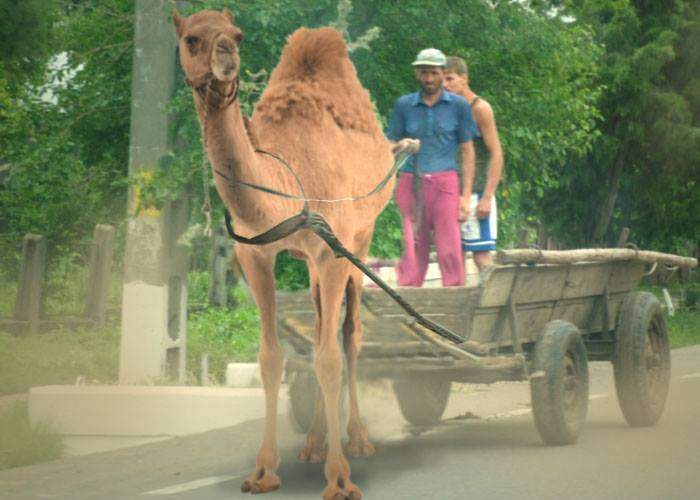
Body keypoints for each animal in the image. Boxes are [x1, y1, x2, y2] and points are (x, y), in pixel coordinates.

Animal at [175, 8, 412, 500]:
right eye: (191, 39)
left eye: (237, 35)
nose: (226, 56)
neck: (287, 178)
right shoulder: (256, 256)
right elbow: (272, 356)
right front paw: (264, 471)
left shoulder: (335, 248)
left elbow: (330, 357)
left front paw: (340, 479)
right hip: (313, 259)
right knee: (321, 325)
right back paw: (314, 443)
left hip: (360, 238)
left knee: (349, 335)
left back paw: (357, 440)